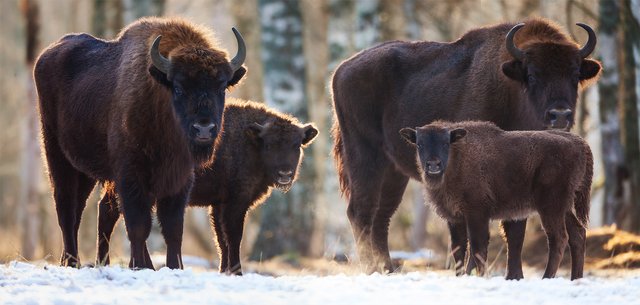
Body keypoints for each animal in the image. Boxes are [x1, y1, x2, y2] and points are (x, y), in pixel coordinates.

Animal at [34, 17, 248, 268]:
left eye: (221, 87)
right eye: (178, 87)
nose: (203, 128)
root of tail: (46, 55)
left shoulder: (179, 179)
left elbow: (172, 228)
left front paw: (173, 266)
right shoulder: (131, 174)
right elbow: (138, 225)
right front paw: (139, 265)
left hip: (87, 171)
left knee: (95, 210)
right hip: (58, 155)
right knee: (67, 207)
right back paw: (71, 261)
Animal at [94, 99, 318, 274]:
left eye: (296, 145)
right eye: (269, 145)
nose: (285, 174)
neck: (250, 141)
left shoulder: (219, 204)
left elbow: (221, 238)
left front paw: (225, 270)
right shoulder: (236, 201)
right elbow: (233, 235)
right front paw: (236, 272)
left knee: (109, 212)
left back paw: (106, 263)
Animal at [400, 120, 596, 280]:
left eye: (445, 142)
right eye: (419, 144)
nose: (433, 165)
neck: (457, 157)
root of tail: (582, 145)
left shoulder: (477, 214)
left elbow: (477, 246)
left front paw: (474, 275)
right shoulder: (455, 218)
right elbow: (459, 249)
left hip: (550, 207)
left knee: (559, 238)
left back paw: (547, 277)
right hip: (564, 208)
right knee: (577, 234)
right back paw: (575, 278)